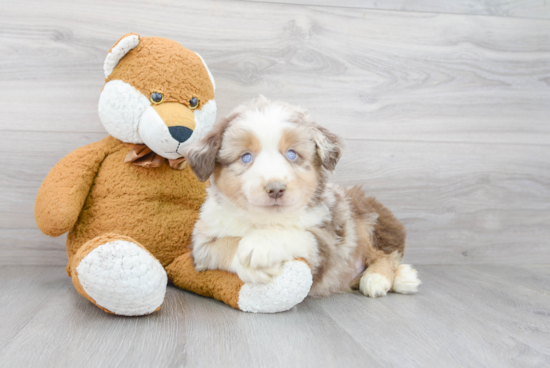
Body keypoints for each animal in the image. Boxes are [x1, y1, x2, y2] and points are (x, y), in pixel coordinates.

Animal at [185, 96, 422, 298]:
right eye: (246, 157)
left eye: (292, 154)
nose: (276, 188)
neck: (263, 220)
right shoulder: (202, 242)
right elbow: (223, 245)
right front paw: (251, 266)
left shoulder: (327, 238)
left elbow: (295, 233)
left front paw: (259, 245)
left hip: (368, 218)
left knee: (388, 253)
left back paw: (380, 278)